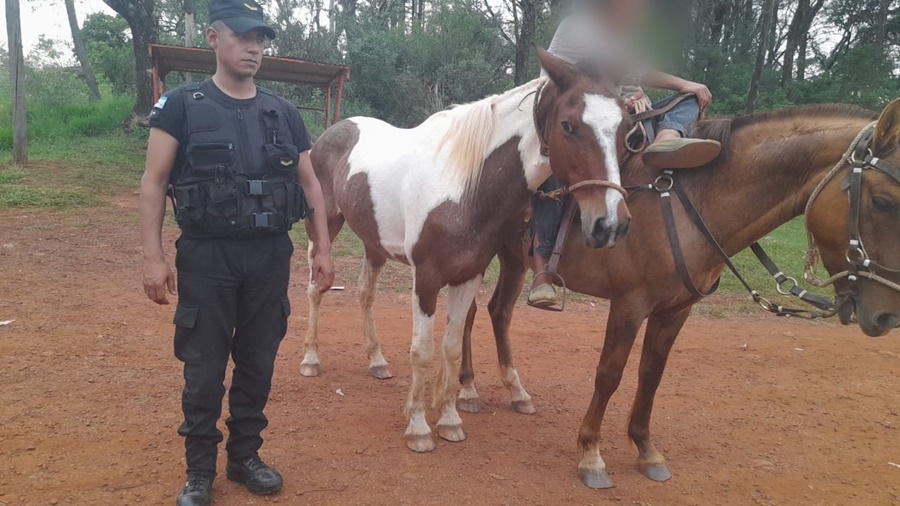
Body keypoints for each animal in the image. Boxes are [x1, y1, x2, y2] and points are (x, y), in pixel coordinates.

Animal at [302, 48, 633, 452]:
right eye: (568, 125)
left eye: (625, 127)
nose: (610, 224)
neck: (463, 185)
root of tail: (333, 131)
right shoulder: (426, 278)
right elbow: (423, 351)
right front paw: (418, 428)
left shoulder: (468, 276)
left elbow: (451, 347)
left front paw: (449, 420)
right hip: (324, 229)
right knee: (316, 289)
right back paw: (311, 359)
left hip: (374, 243)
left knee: (365, 294)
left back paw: (377, 361)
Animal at [457, 98, 900, 488]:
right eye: (883, 201)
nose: (887, 315)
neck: (691, 204)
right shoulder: (630, 304)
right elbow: (609, 375)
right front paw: (591, 455)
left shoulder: (675, 310)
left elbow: (651, 374)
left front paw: (646, 450)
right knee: (469, 315)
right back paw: (467, 390)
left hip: (514, 258)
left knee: (498, 312)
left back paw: (516, 392)